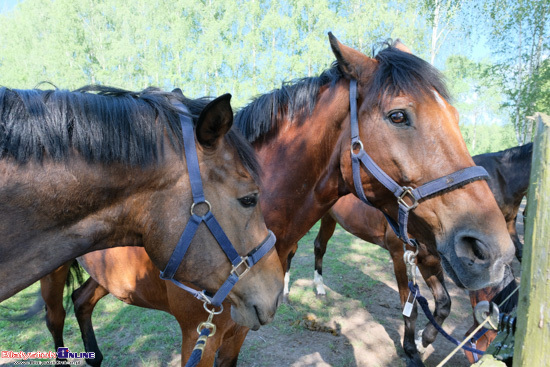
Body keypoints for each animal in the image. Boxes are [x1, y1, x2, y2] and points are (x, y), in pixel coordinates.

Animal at [302, 142, 536, 364]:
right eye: (493, 331)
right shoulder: (401, 257)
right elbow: (410, 309)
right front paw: (411, 352)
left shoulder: (430, 260)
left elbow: (444, 305)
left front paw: (422, 341)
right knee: (312, 247)